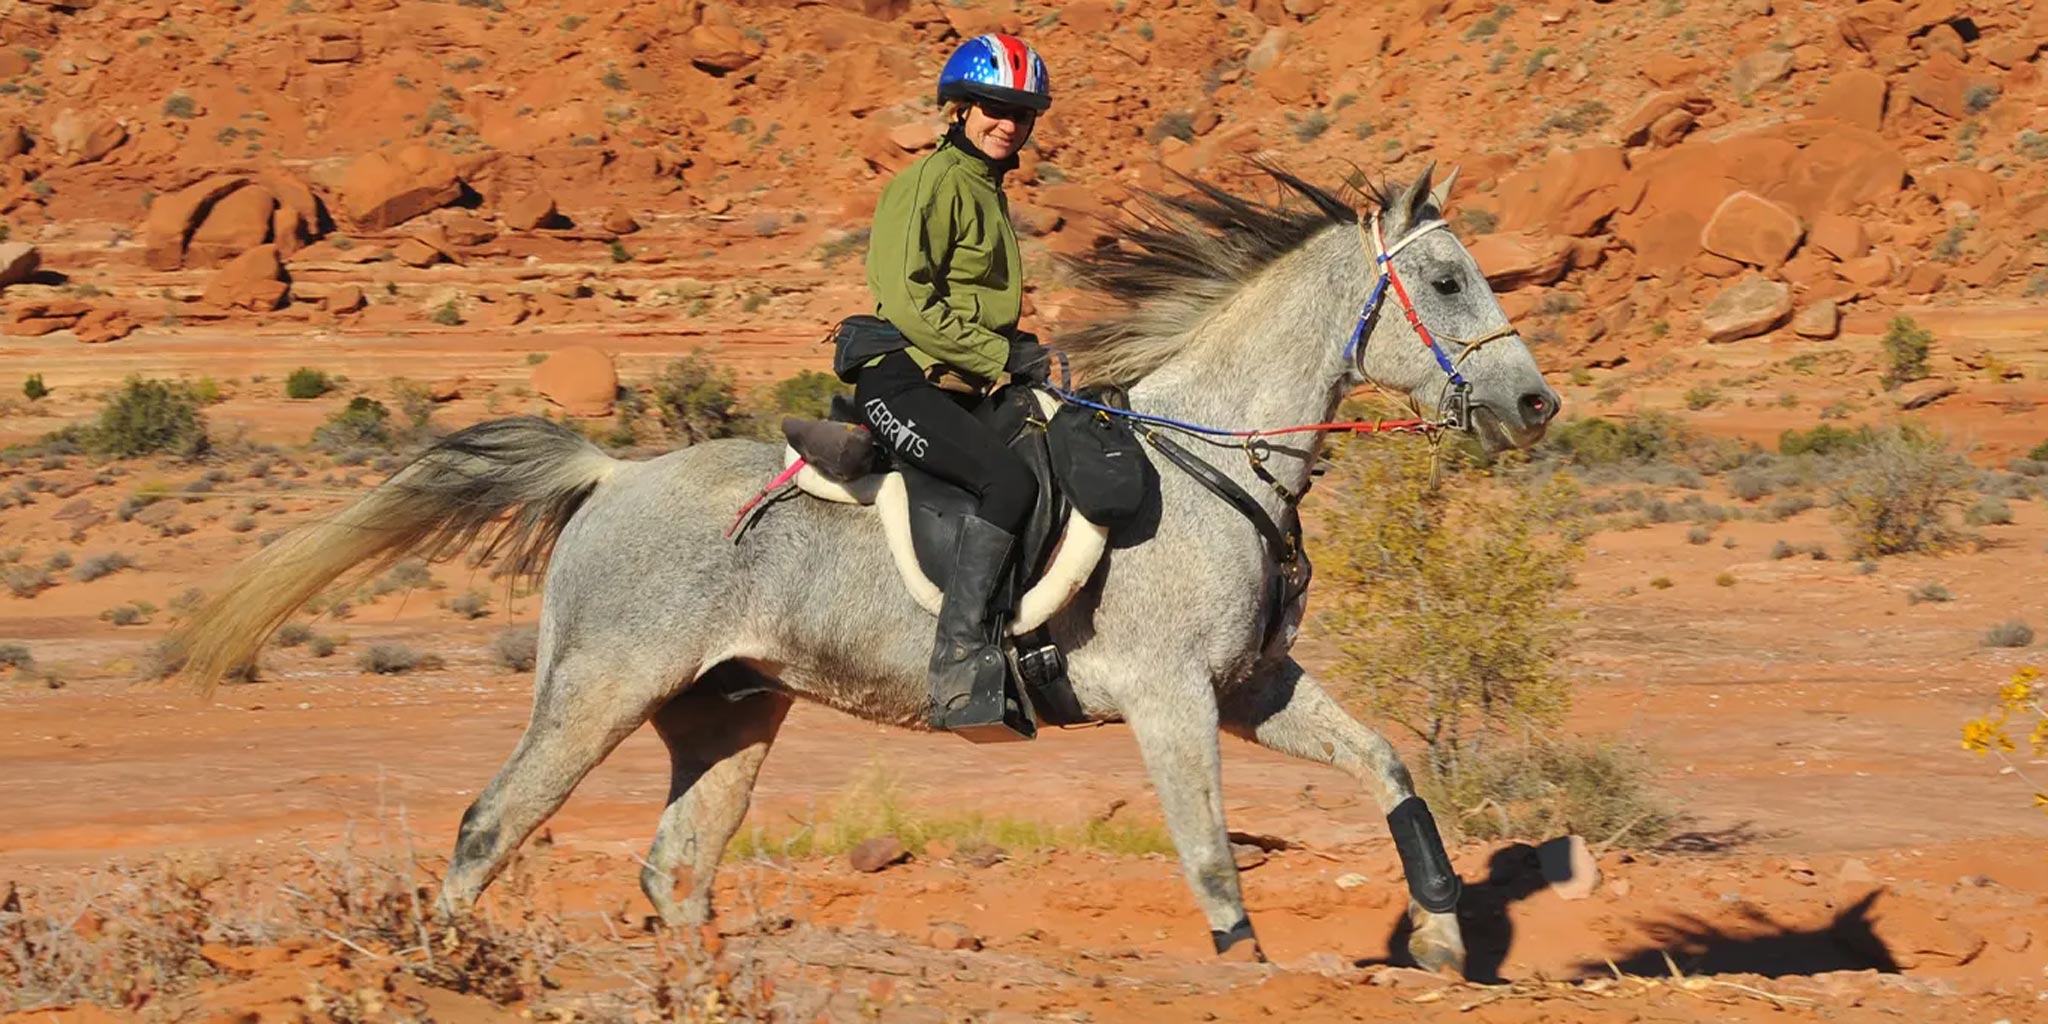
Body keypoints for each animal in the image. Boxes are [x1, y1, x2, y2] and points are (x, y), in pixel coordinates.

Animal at [167, 163, 1556, 970]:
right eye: (1445, 278)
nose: (1533, 405)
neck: (1207, 460)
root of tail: (610, 478)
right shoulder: (1168, 699)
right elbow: (1213, 863)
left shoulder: (1248, 689)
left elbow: (1389, 765)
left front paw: (1444, 934)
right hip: (600, 686)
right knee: (492, 823)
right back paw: (448, 969)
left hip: (727, 711)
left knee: (674, 870)